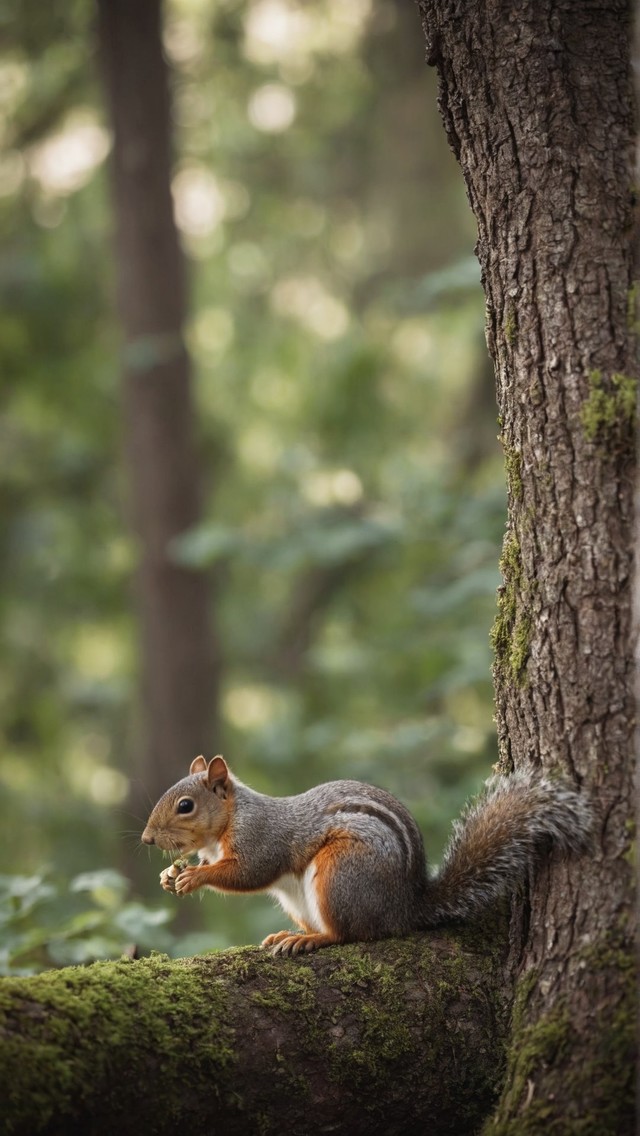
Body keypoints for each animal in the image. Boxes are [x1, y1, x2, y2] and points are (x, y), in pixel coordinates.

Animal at [140, 754, 591, 958]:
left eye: (185, 806)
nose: (146, 839)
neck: (227, 824)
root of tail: (402, 909)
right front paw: (168, 876)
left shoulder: (262, 838)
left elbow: (249, 873)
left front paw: (194, 877)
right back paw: (289, 935)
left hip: (341, 874)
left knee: (349, 934)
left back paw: (311, 939)